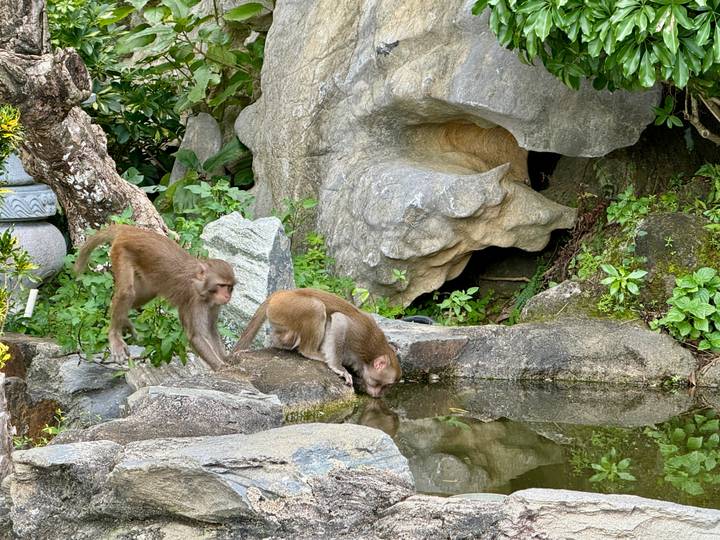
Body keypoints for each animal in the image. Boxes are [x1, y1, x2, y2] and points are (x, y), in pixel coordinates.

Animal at [74, 224, 236, 370]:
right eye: (221, 285)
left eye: (229, 286)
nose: (227, 295)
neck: (202, 288)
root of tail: (129, 229)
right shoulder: (195, 301)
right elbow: (197, 336)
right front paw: (222, 367)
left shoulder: (214, 304)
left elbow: (211, 329)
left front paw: (226, 359)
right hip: (121, 251)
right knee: (127, 292)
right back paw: (114, 335)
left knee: (144, 294)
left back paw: (123, 319)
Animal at [233, 288, 402, 397]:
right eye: (385, 384)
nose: (379, 394)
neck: (369, 354)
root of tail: (280, 293)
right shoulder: (358, 337)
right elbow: (339, 321)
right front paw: (339, 368)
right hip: (288, 307)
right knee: (316, 307)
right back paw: (311, 352)